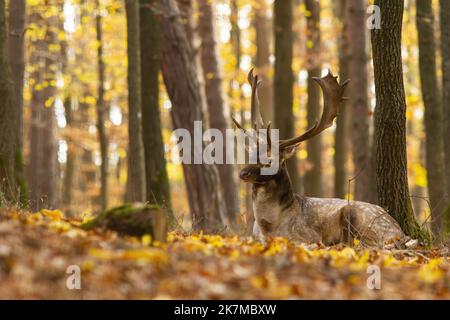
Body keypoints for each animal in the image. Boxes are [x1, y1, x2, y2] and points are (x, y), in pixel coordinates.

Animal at [232, 69, 404, 246]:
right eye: (251, 154)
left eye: (270, 160)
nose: (243, 173)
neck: (268, 228)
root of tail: (400, 232)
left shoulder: (307, 237)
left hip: (358, 218)